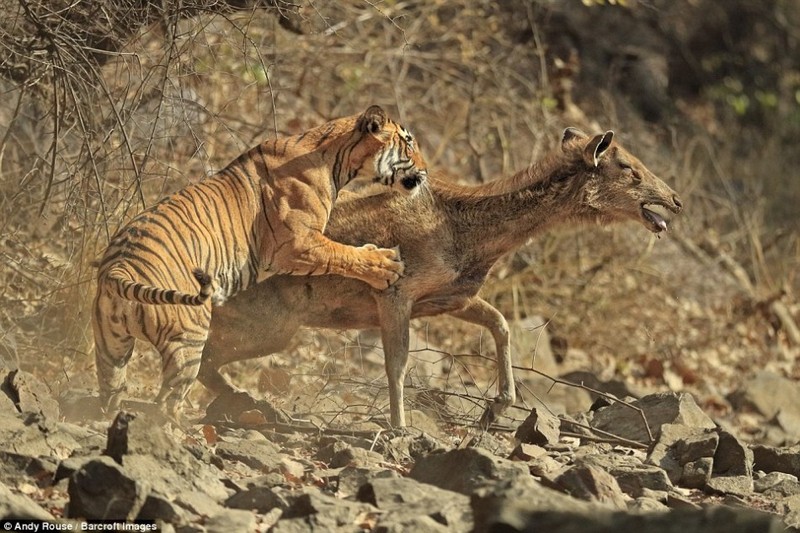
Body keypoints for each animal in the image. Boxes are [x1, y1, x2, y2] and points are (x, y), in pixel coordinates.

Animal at [91, 104, 428, 418]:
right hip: (188, 338)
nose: (426, 170)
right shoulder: (298, 244)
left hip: (111, 350)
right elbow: (343, 254)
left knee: (110, 397)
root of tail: (117, 268)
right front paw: (388, 265)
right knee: (166, 405)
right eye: (409, 143)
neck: (337, 161)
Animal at [198, 129, 680, 428]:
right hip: (268, 324)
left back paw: (250, 404)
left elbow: (501, 324)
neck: (472, 240)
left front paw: (497, 407)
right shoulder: (397, 291)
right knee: (203, 356)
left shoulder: (451, 298)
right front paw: (399, 429)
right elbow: (397, 364)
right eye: (629, 167)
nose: (675, 199)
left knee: (207, 361)